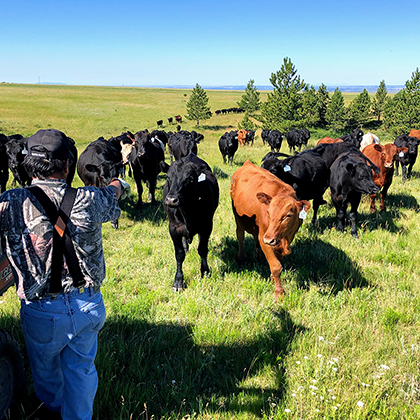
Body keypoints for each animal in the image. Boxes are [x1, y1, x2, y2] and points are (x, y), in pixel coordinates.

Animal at [163, 154, 220, 292]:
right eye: (168, 177)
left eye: (190, 179)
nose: (171, 200)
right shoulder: (173, 228)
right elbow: (179, 254)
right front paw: (178, 281)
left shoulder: (206, 226)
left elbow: (202, 249)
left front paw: (205, 272)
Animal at [230, 160, 308, 298]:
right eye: (269, 212)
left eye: (287, 216)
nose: (269, 239)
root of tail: (247, 163)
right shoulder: (265, 238)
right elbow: (276, 266)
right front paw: (279, 292)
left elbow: (278, 261)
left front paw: (272, 278)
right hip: (238, 218)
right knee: (240, 236)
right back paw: (241, 258)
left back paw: (258, 255)